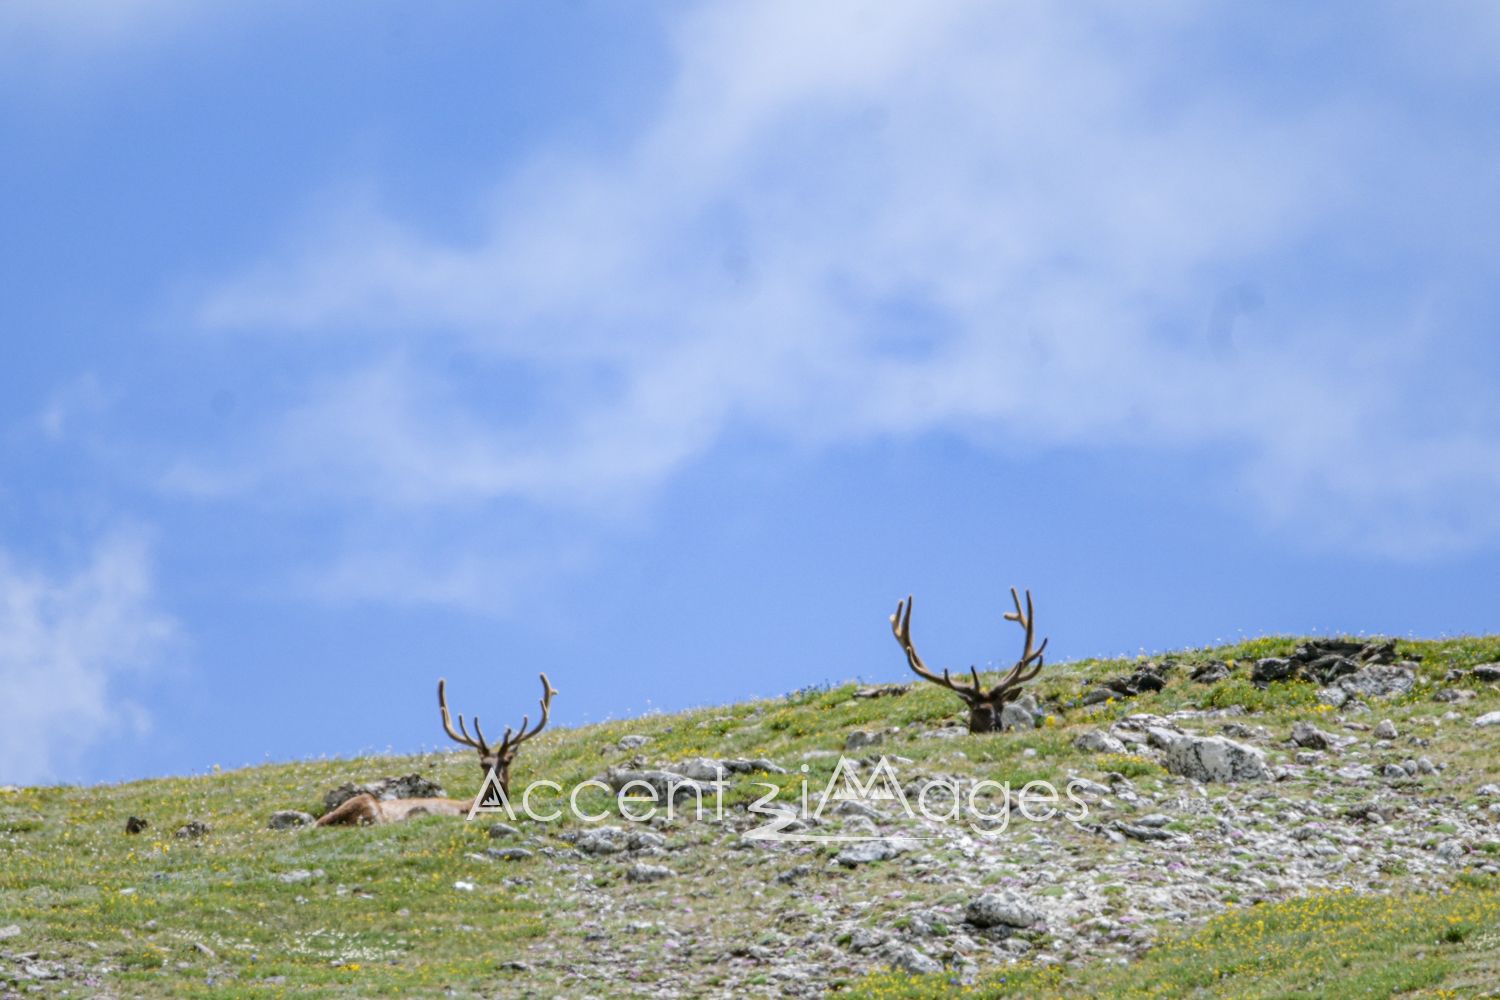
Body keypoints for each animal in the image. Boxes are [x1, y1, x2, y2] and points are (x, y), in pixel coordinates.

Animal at [315, 673, 557, 826]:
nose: (493, 780)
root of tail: (318, 822)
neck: (474, 804)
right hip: (364, 801)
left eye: (507, 760)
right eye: (482, 764)